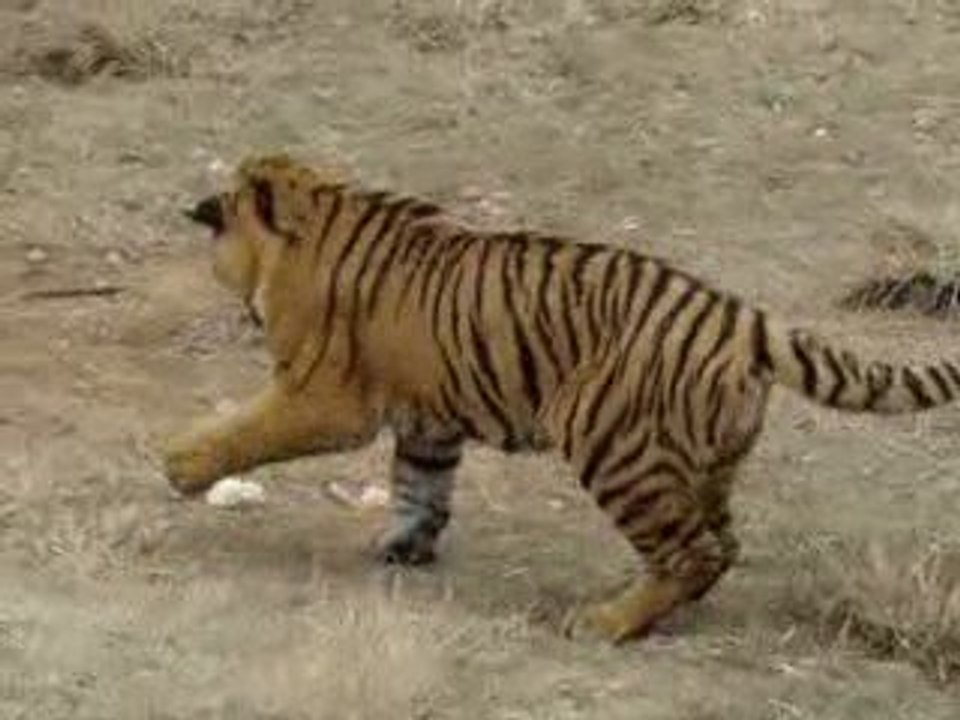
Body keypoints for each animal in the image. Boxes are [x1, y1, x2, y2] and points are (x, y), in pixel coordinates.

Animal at [163, 153, 960, 644]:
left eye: (221, 218)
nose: (199, 212)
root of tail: (744, 317)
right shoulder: (430, 417)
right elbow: (421, 485)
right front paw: (404, 547)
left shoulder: (324, 396)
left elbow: (247, 427)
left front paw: (182, 465)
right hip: (705, 462)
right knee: (722, 545)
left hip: (613, 446)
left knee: (690, 551)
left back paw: (607, 622)